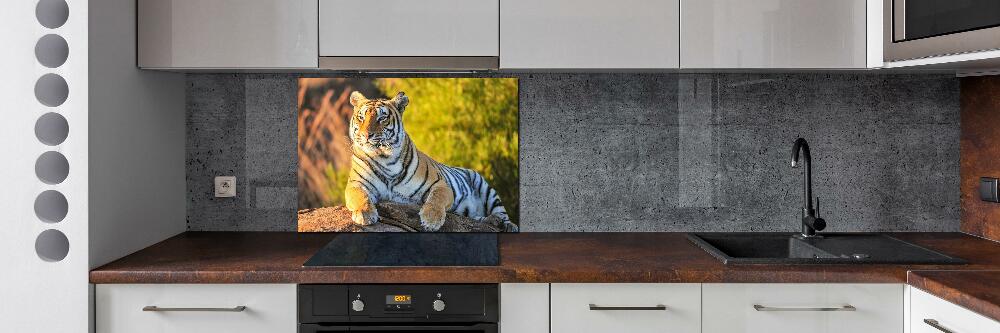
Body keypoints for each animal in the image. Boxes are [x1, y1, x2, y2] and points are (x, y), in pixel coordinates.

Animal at [344, 90, 520, 231]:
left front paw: (431, 220)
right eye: (361, 118)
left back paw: (507, 225)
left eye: (382, 118)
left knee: (501, 212)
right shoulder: (356, 183)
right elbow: (359, 196)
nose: (366, 135)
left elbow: (436, 199)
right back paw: (492, 221)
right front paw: (365, 214)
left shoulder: (440, 184)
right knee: (476, 218)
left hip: (487, 189)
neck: (384, 157)